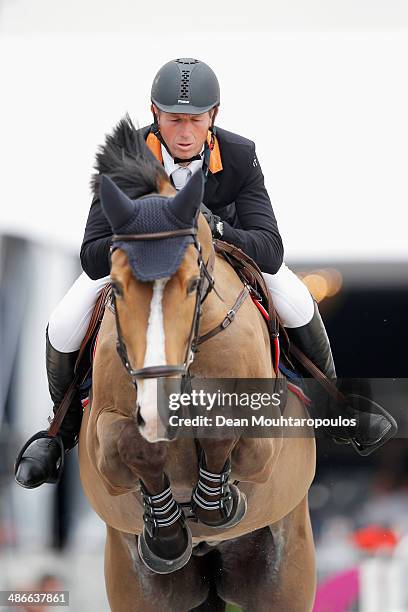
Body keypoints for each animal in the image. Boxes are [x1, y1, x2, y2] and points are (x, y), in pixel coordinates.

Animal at [78, 122, 318, 608]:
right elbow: (131, 447)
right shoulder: (102, 443)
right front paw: (168, 530)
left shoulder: (264, 434)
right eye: (117, 284)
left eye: (192, 283)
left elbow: (225, 426)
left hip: (286, 569)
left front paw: (213, 504)